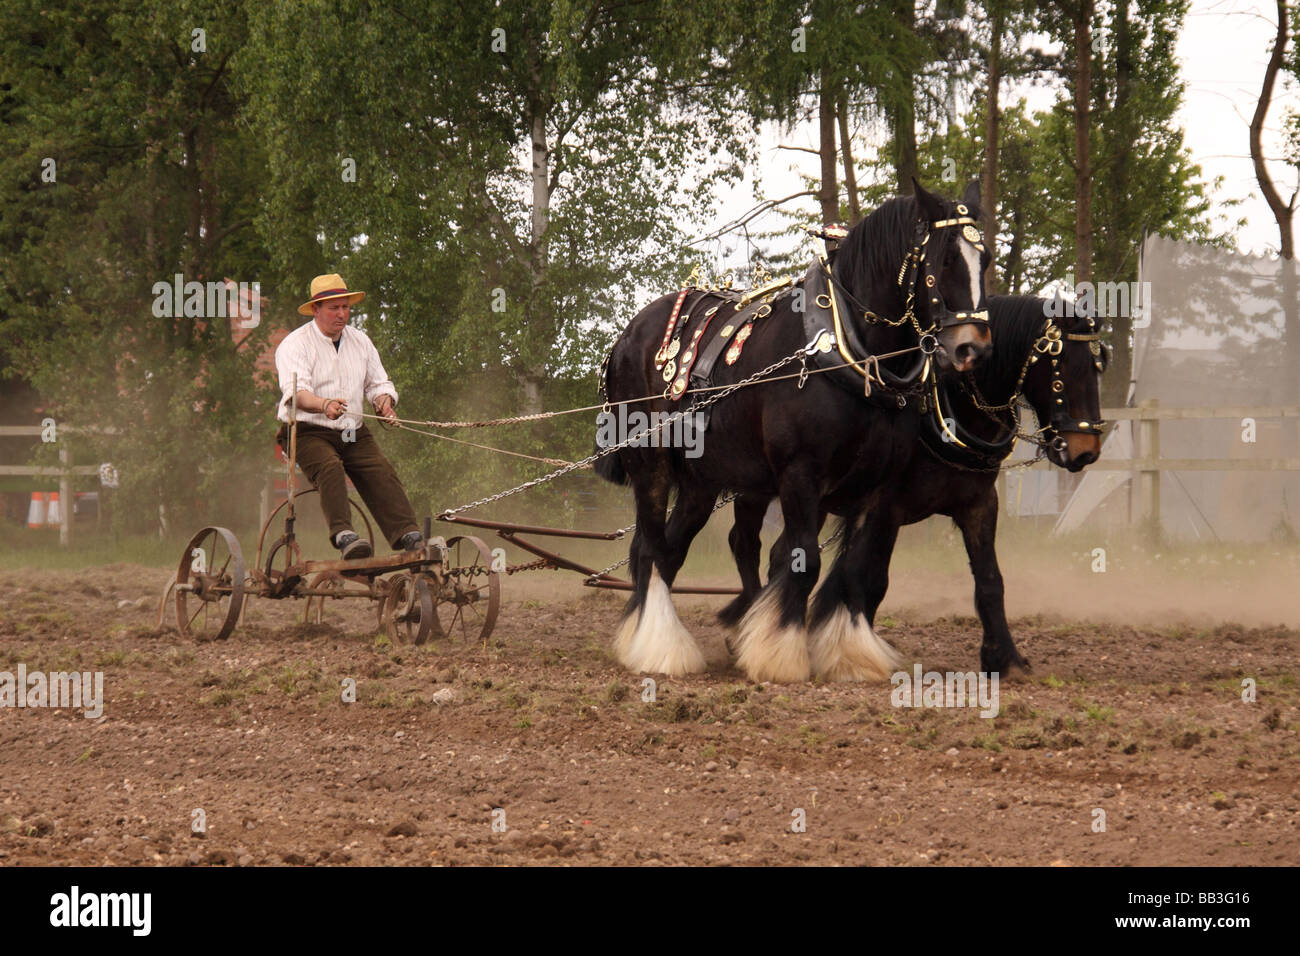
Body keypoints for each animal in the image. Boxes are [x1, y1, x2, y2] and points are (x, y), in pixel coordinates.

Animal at [594, 181, 992, 682]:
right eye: (945, 259)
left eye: (987, 259)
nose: (972, 349)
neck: (847, 352)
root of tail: (628, 335)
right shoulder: (800, 476)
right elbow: (805, 561)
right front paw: (780, 653)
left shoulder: (871, 487)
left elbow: (850, 569)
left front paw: (850, 652)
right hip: (651, 465)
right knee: (649, 549)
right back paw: (657, 647)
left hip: (703, 483)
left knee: (669, 551)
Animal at [721, 293, 1107, 675]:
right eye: (1060, 368)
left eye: (1098, 364)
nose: (1086, 451)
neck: (947, 409)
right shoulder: (887, 508)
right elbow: (872, 580)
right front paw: (855, 649)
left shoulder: (980, 503)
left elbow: (990, 580)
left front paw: (1005, 658)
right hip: (761, 489)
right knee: (745, 543)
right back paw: (746, 627)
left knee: (781, 555)